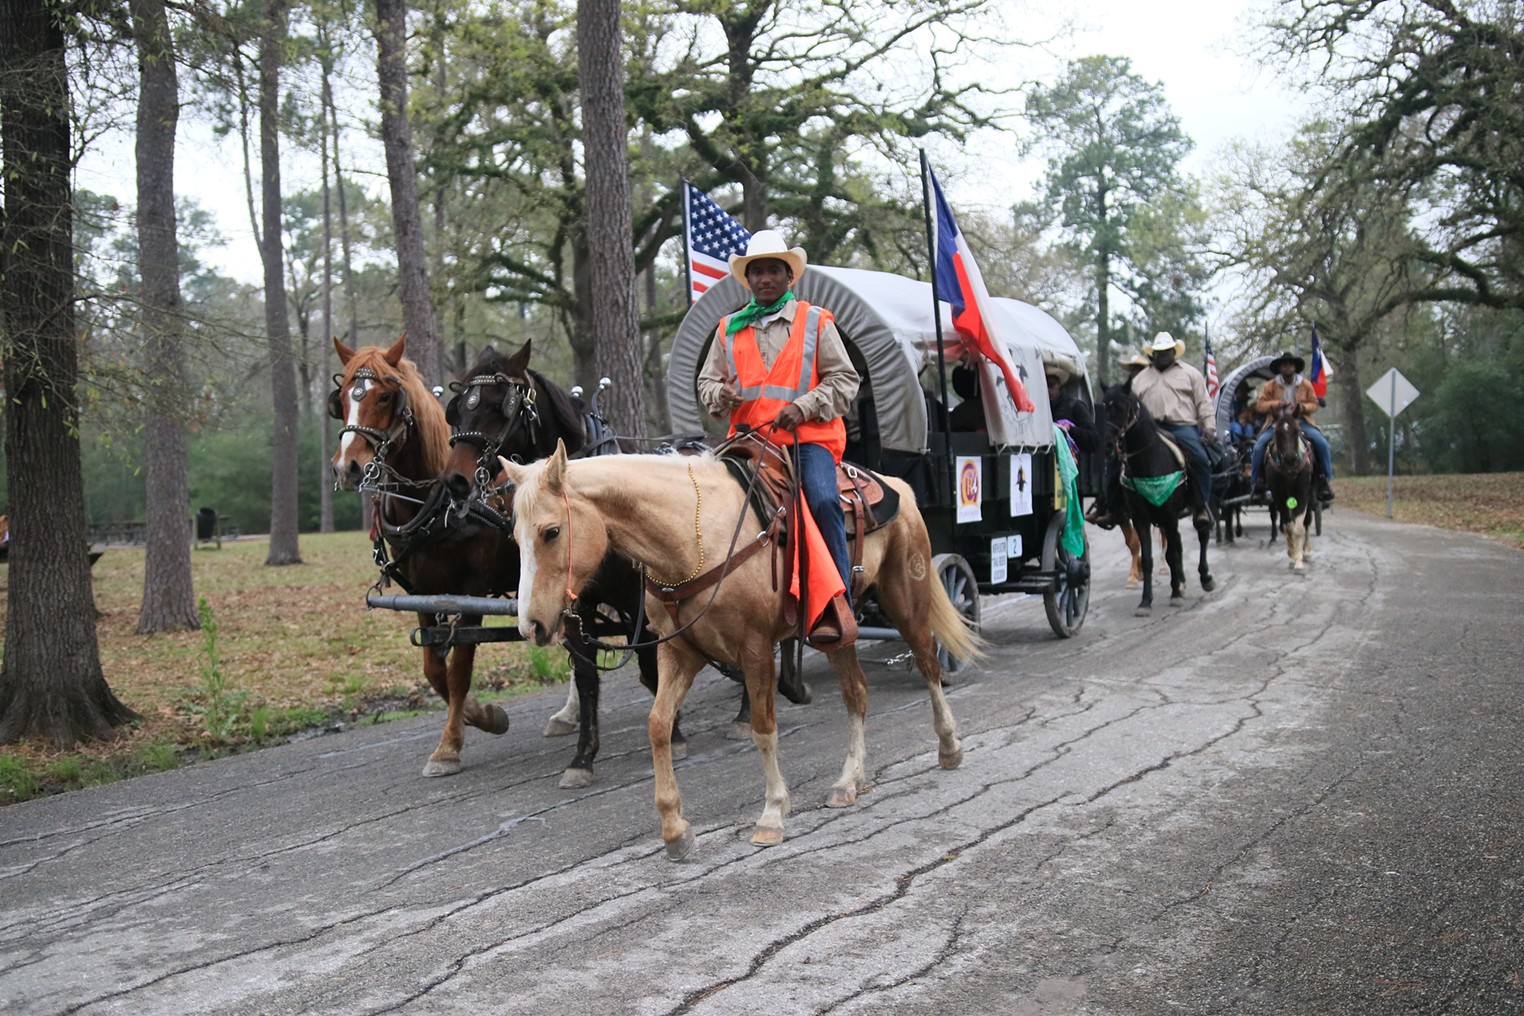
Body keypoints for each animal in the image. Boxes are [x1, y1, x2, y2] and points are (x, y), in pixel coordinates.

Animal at [330, 338, 515, 773]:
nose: (348, 467)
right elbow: (435, 670)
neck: (435, 504)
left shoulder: (473, 589)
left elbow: (460, 669)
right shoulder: (422, 592)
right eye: (342, 398)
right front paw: (480, 714)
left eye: (385, 396)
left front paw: (449, 746)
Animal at [499, 441, 975, 865]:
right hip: (836, 633)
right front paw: (674, 828)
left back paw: (949, 746)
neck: (695, 538)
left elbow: (763, 729)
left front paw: (772, 814)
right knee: (856, 692)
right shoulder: (679, 651)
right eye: (515, 537)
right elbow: (658, 725)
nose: (530, 626)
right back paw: (849, 780)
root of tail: (898, 486)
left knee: (929, 664)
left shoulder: (756, 649)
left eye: (552, 531)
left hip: (906, 598)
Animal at [1103, 380, 1219, 615]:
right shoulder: (1141, 517)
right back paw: (1181, 582)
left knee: (1202, 533)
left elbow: (1172, 553)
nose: (1109, 444)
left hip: (1200, 505)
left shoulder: (1170, 514)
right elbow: (1149, 558)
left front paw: (1175, 594)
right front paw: (1145, 601)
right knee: (1178, 543)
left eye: (1122, 406)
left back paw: (1205, 578)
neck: (1149, 462)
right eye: (1103, 406)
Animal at [1267, 402, 1316, 572]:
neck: (1289, 471)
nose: (1289, 458)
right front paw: (1293, 556)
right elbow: (1288, 526)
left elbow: (1299, 526)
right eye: (1277, 432)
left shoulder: (1303, 494)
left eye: (1296, 430)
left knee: (1307, 521)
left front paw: (1299, 560)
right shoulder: (1279, 496)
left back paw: (1306, 551)